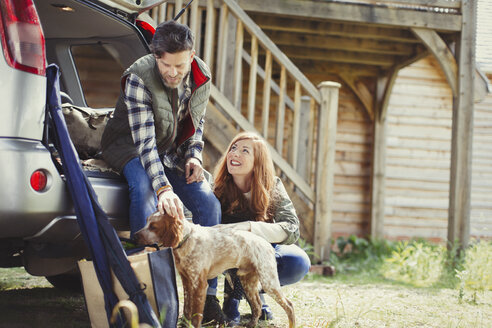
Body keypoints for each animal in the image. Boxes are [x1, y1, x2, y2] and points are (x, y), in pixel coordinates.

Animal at [135, 211, 294, 328]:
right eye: (146, 222)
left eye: (153, 226)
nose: (135, 235)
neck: (186, 240)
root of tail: (267, 244)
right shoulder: (186, 282)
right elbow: (187, 310)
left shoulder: (200, 284)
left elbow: (196, 315)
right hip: (248, 282)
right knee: (257, 305)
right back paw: (251, 324)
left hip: (268, 282)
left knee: (289, 305)